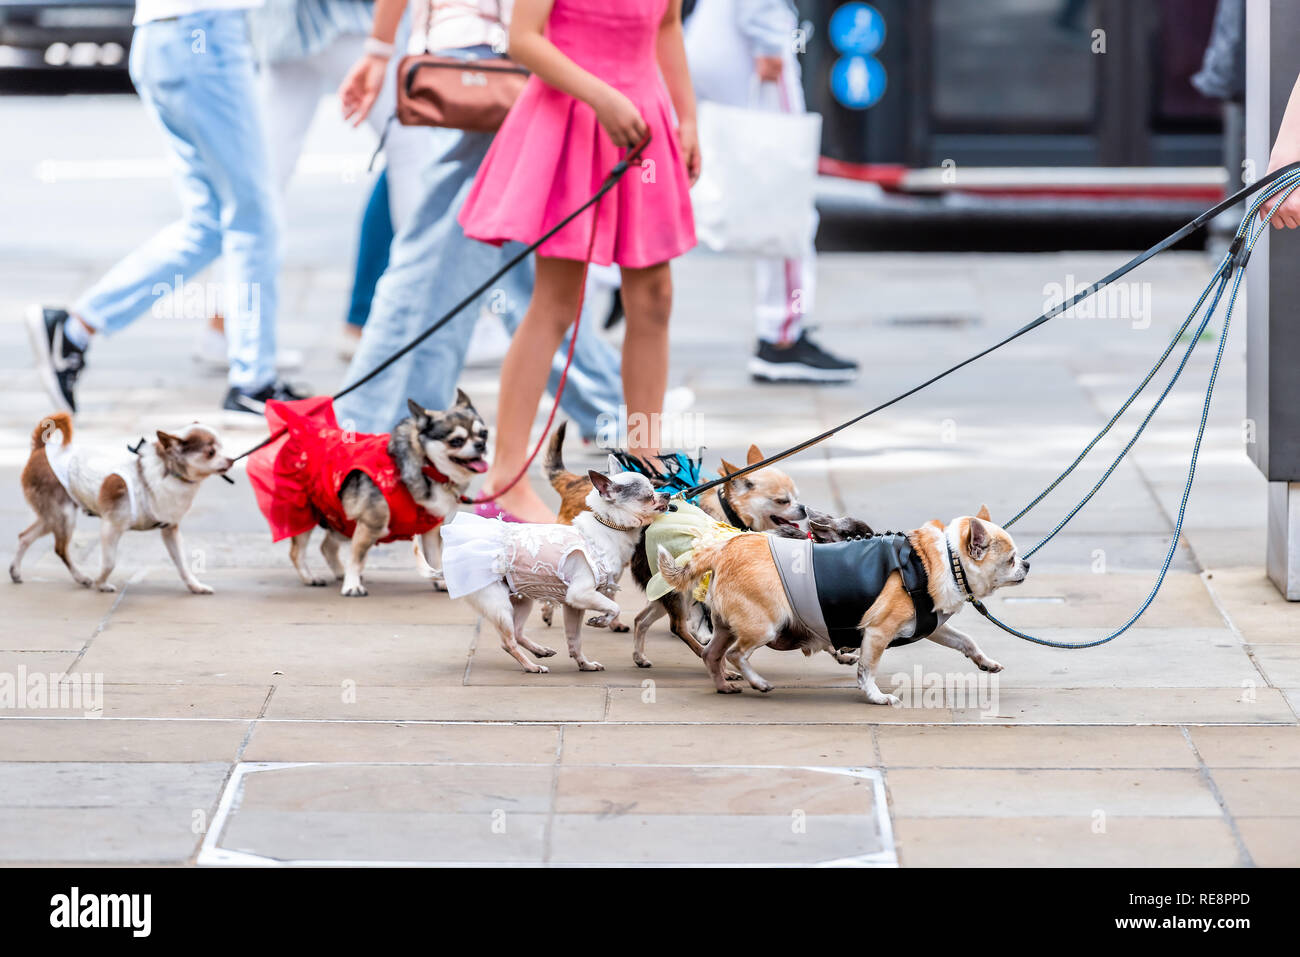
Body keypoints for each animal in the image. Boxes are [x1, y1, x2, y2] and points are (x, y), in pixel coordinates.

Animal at [12, 416, 233, 595]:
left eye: (223, 446)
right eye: (211, 452)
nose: (232, 459)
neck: (165, 472)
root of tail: (40, 450)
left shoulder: (170, 530)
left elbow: (183, 564)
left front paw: (195, 586)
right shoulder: (111, 527)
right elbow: (110, 563)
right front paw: (101, 584)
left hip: (51, 517)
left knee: (25, 536)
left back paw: (15, 571)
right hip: (64, 516)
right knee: (60, 549)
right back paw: (81, 577)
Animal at [655, 509, 1029, 702]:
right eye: (1011, 559)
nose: (1026, 565)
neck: (944, 560)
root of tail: (723, 548)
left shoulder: (933, 627)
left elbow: (966, 641)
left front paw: (985, 662)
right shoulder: (877, 633)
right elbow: (867, 669)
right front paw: (876, 696)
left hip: (725, 626)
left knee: (712, 654)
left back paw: (724, 685)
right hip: (766, 625)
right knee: (737, 654)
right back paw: (757, 682)